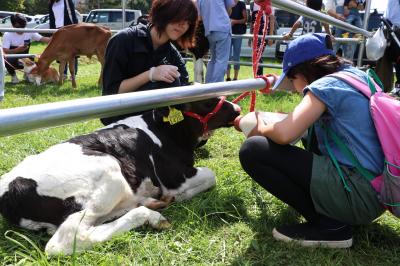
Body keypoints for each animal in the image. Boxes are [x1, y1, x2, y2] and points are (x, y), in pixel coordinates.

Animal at [0, 96, 241, 255]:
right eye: (207, 101)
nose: (238, 109)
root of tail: (8, 189)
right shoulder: (175, 177)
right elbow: (211, 174)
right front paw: (178, 197)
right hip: (109, 170)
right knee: (66, 240)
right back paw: (150, 214)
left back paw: (150, 203)